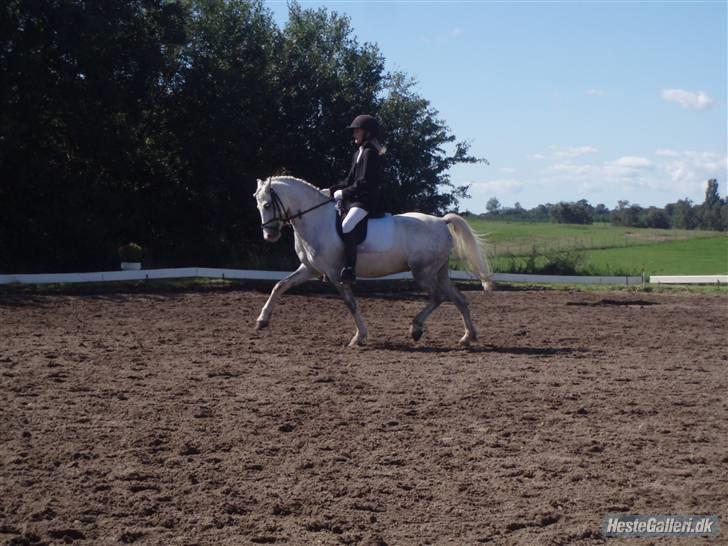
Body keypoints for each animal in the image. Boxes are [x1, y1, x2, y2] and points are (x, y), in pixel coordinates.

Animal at [253, 176, 492, 347]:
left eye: (267, 205)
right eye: (258, 205)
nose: (268, 236)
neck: (316, 220)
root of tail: (442, 222)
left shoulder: (334, 273)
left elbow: (350, 303)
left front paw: (359, 337)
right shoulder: (310, 269)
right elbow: (279, 285)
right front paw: (262, 320)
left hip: (423, 272)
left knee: (438, 297)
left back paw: (416, 328)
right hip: (438, 272)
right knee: (458, 298)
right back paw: (468, 337)